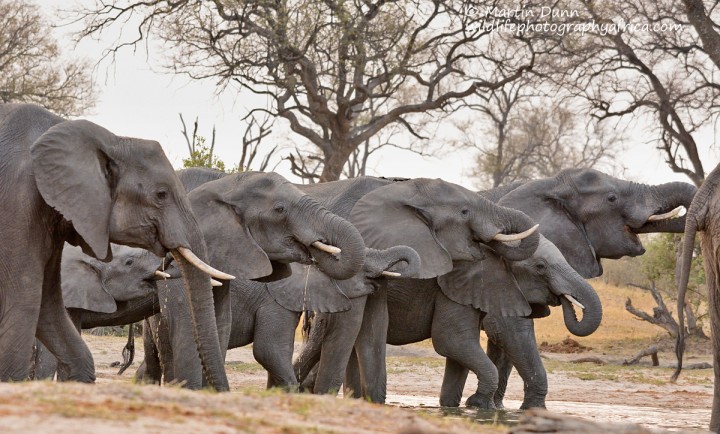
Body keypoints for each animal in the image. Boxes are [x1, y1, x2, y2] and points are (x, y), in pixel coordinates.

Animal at [0, 102, 229, 390]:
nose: (222, 393)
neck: (109, 140)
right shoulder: (17, 202)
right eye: (161, 194)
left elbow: (48, 304)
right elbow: (25, 300)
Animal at [292, 168, 696, 408]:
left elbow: (504, 337)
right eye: (612, 199)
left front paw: (492, 407)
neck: (545, 185)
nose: (676, 373)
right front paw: (503, 407)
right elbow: (509, 329)